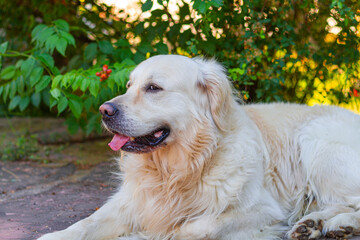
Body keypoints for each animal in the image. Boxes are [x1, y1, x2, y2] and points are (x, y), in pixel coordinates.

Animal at [38, 55, 360, 239]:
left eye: (153, 88)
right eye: (129, 86)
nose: (104, 110)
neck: (178, 169)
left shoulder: (265, 211)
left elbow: (194, 227)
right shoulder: (131, 202)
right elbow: (86, 223)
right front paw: (56, 236)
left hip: (318, 145)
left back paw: (340, 224)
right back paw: (313, 224)